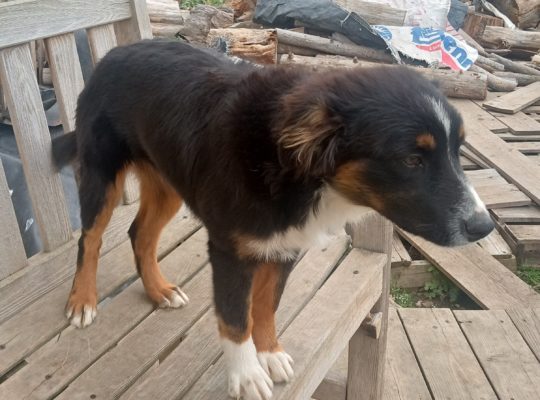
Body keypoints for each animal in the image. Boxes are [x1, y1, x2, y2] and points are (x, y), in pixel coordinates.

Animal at [52, 39, 494, 400]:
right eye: (411, 160)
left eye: (458, 151)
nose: (484, 227)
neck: (290, 164)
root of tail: (113, 53)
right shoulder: (229, 251)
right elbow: (235, 318)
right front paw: (246, 375)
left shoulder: (285, 246)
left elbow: (265, 306)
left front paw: (269, 353)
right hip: (102, 177)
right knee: (90, 239)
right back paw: (83, 300)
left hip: (167, 185)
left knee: (139, 233)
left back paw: (158, 290)